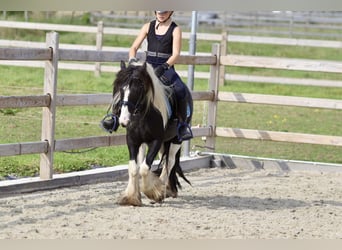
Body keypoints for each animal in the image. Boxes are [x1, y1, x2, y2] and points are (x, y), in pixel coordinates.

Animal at [112, 60, 192, 205]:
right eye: (121, 89)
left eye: (138, 89)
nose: (124, 120)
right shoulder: (133, 141)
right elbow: (134, 168)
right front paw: (132, 197)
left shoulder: (156, 141)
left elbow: (144, 169)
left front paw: (154, 193)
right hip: (150, 144)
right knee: (156, 160)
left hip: (175, 141)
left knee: (169, 162)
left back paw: (164, 189)